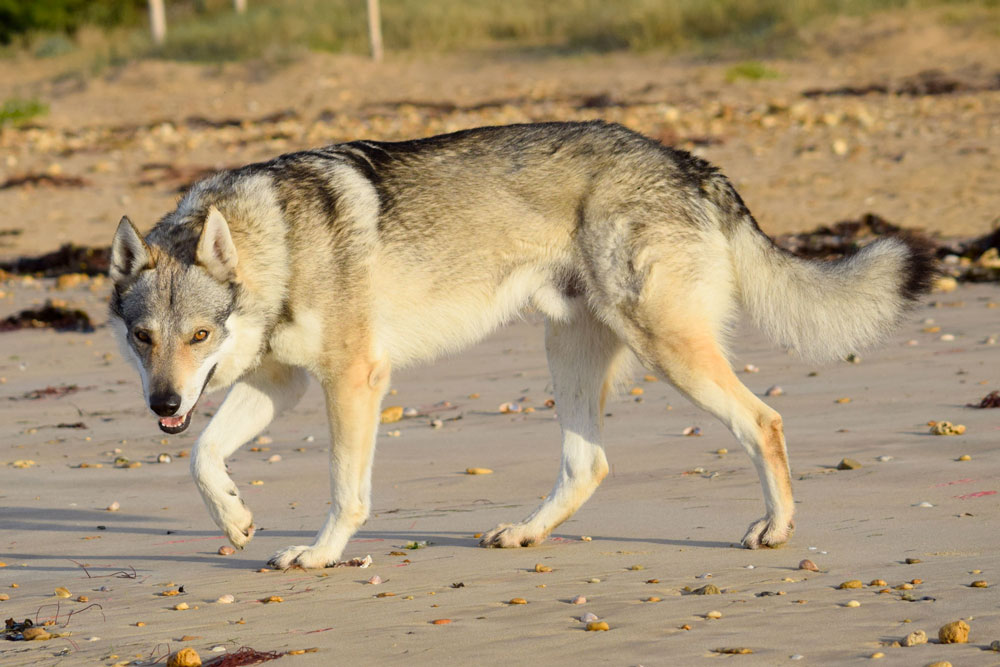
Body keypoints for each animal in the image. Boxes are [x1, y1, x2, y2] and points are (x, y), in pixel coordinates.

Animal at [109, 120, 934, 568]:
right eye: (143, 337)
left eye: (199, 334)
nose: (162, 401)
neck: (275, 243)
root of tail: (689, 162)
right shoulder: (277, 384)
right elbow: (202, 454)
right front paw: (236, 519)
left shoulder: (353, 380)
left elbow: (346, 491)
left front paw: (317, 553)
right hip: (567, 355)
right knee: (588, 463)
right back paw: (526, 532)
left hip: (667, 350)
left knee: (764, 420)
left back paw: (777, 528)